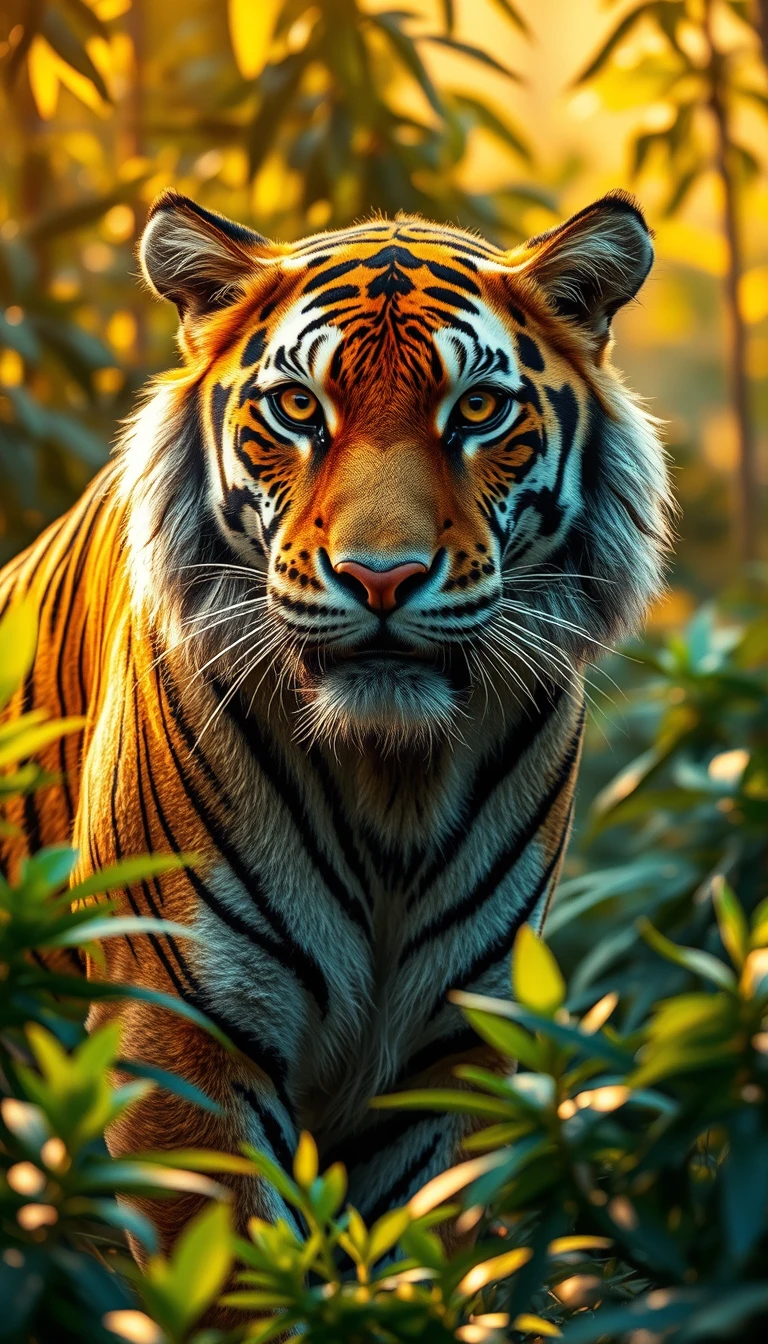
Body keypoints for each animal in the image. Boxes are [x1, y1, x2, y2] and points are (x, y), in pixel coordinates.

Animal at [0, 189, 670, 1258]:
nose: (381, 577)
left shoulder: (461, 1054)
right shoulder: (187, 1034)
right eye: (299, 408)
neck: (392, 781)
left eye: (476, 410)